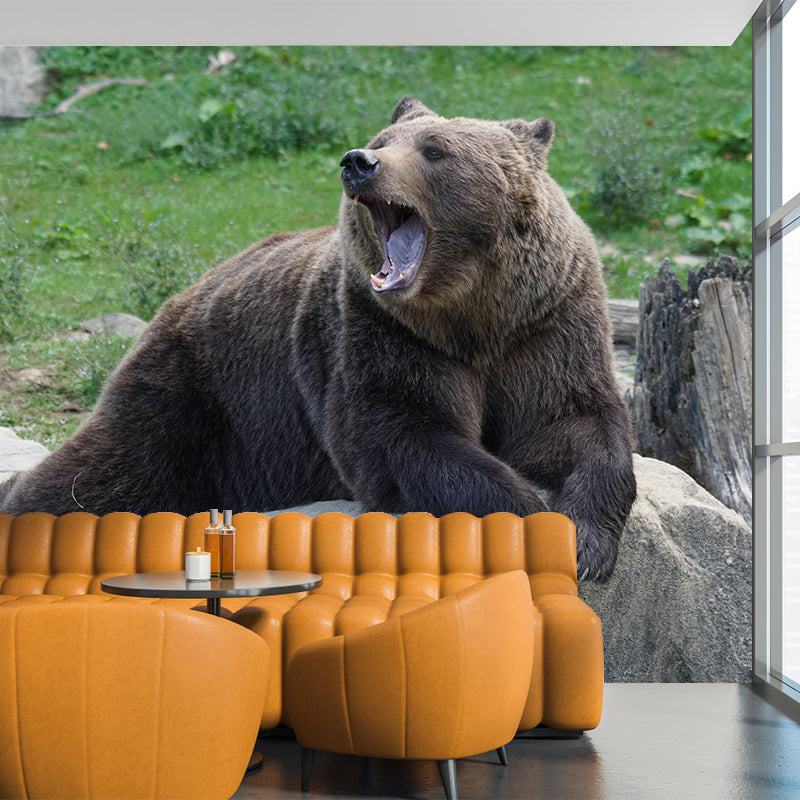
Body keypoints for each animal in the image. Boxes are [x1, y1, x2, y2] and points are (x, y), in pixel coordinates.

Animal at [0, 97, 636, 582]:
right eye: (383, 138)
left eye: (434, 149)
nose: (359, 162)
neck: (469, 315)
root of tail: (181, 296)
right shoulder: (381, 336)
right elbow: (406, 435)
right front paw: (526, 516)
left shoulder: (546, 325)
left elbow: (574, 422)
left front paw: (586, 543)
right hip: (204, 396)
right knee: (105, 474)